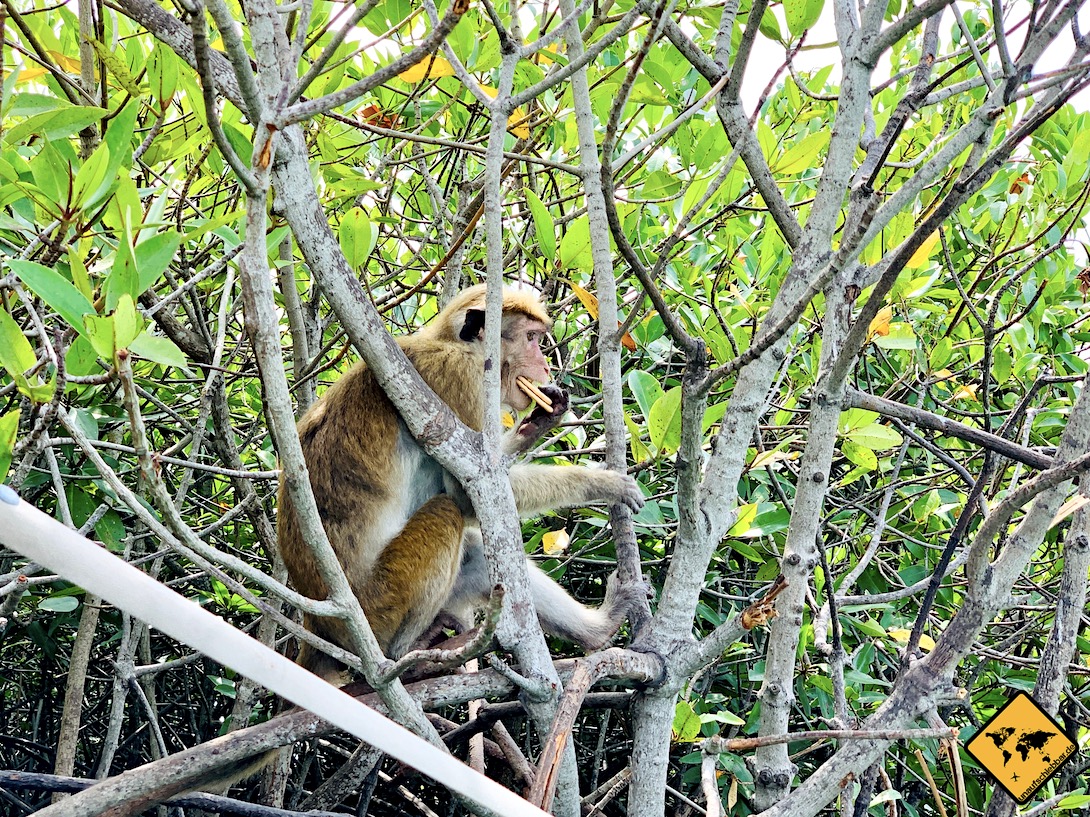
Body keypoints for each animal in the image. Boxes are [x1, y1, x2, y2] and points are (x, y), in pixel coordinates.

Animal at [276, 287, 645, 679]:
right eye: (531, 338)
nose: (545, 365)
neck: (454, 344)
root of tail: (320, 627)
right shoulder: (459, 378)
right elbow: (466, 495)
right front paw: (602, 483)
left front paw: (538, 422)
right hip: (381, 603)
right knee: (446, 513)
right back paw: (407, 651)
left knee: (479, 556)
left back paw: (599, 628)